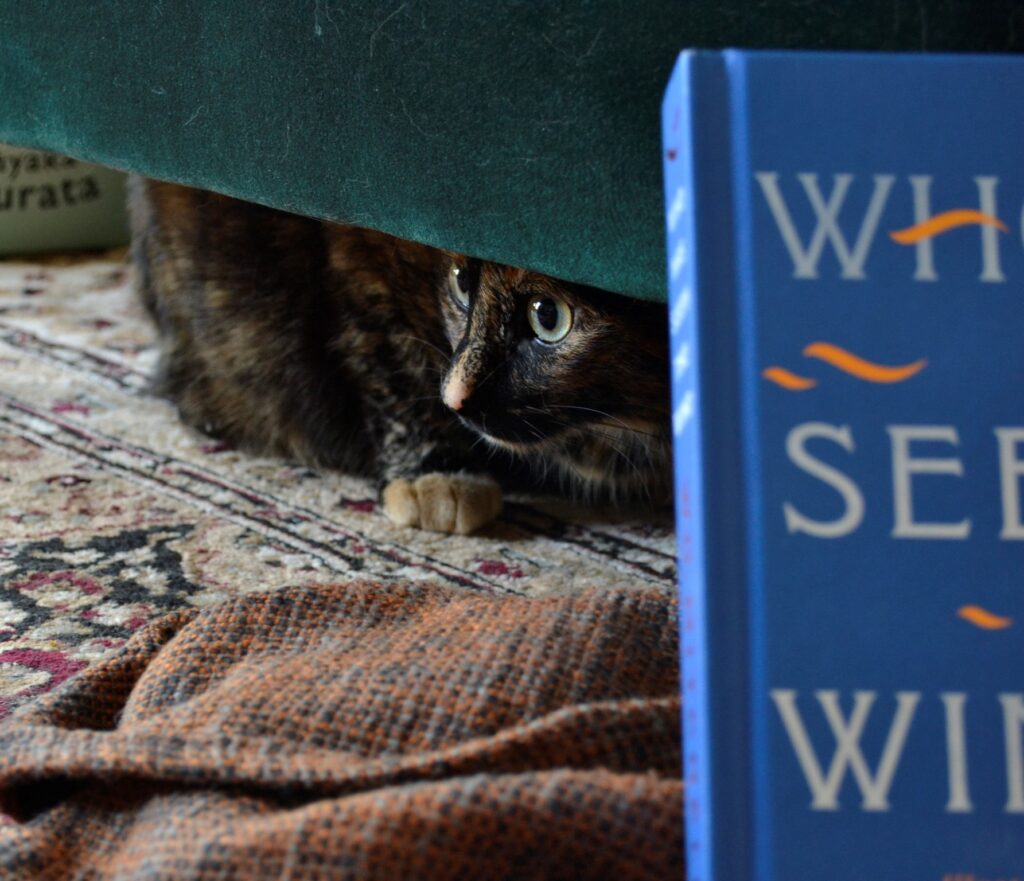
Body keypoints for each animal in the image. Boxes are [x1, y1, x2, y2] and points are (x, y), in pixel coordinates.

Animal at [128, 176, 671, 532]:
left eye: (548, 317)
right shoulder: (357, 237)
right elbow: (390, 356)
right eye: (462, 283)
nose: (455, 399)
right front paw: (436, 474)